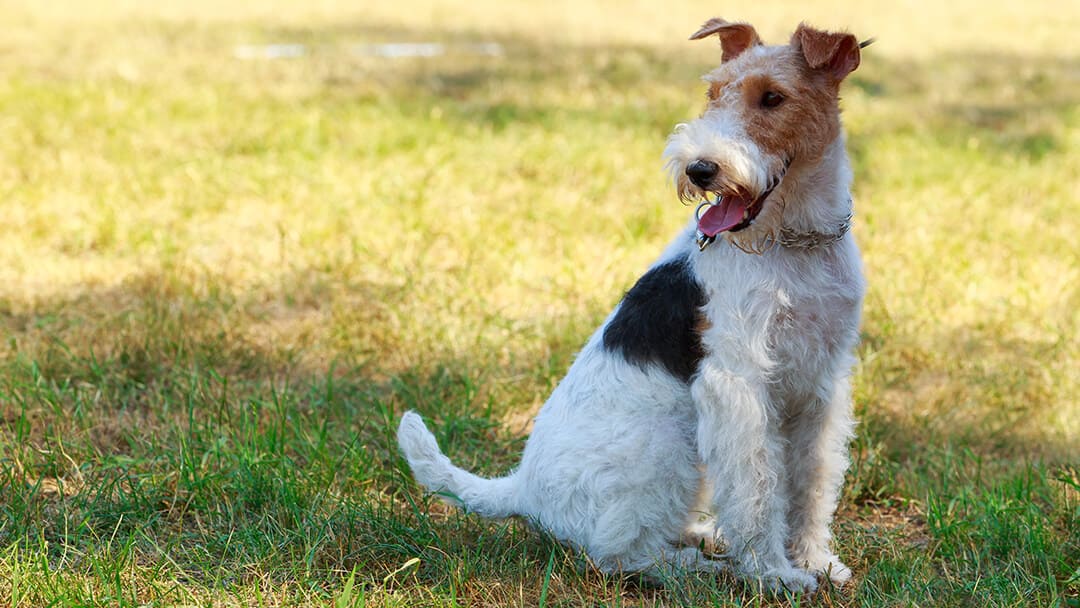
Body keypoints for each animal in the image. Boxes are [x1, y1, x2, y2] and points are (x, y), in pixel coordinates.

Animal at [399, 19, 868, 596]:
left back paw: (706, 536)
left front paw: (816, 561)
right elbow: (758, 490)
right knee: (618, 554)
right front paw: (774, 574)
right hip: (668, 445)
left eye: (773, 98)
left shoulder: (822, 381)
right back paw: (698, 567)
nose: (700, 169)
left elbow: (812, 480)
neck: (795, 241)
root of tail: (520, 489)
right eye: (714, 93)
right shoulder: (737, 383)